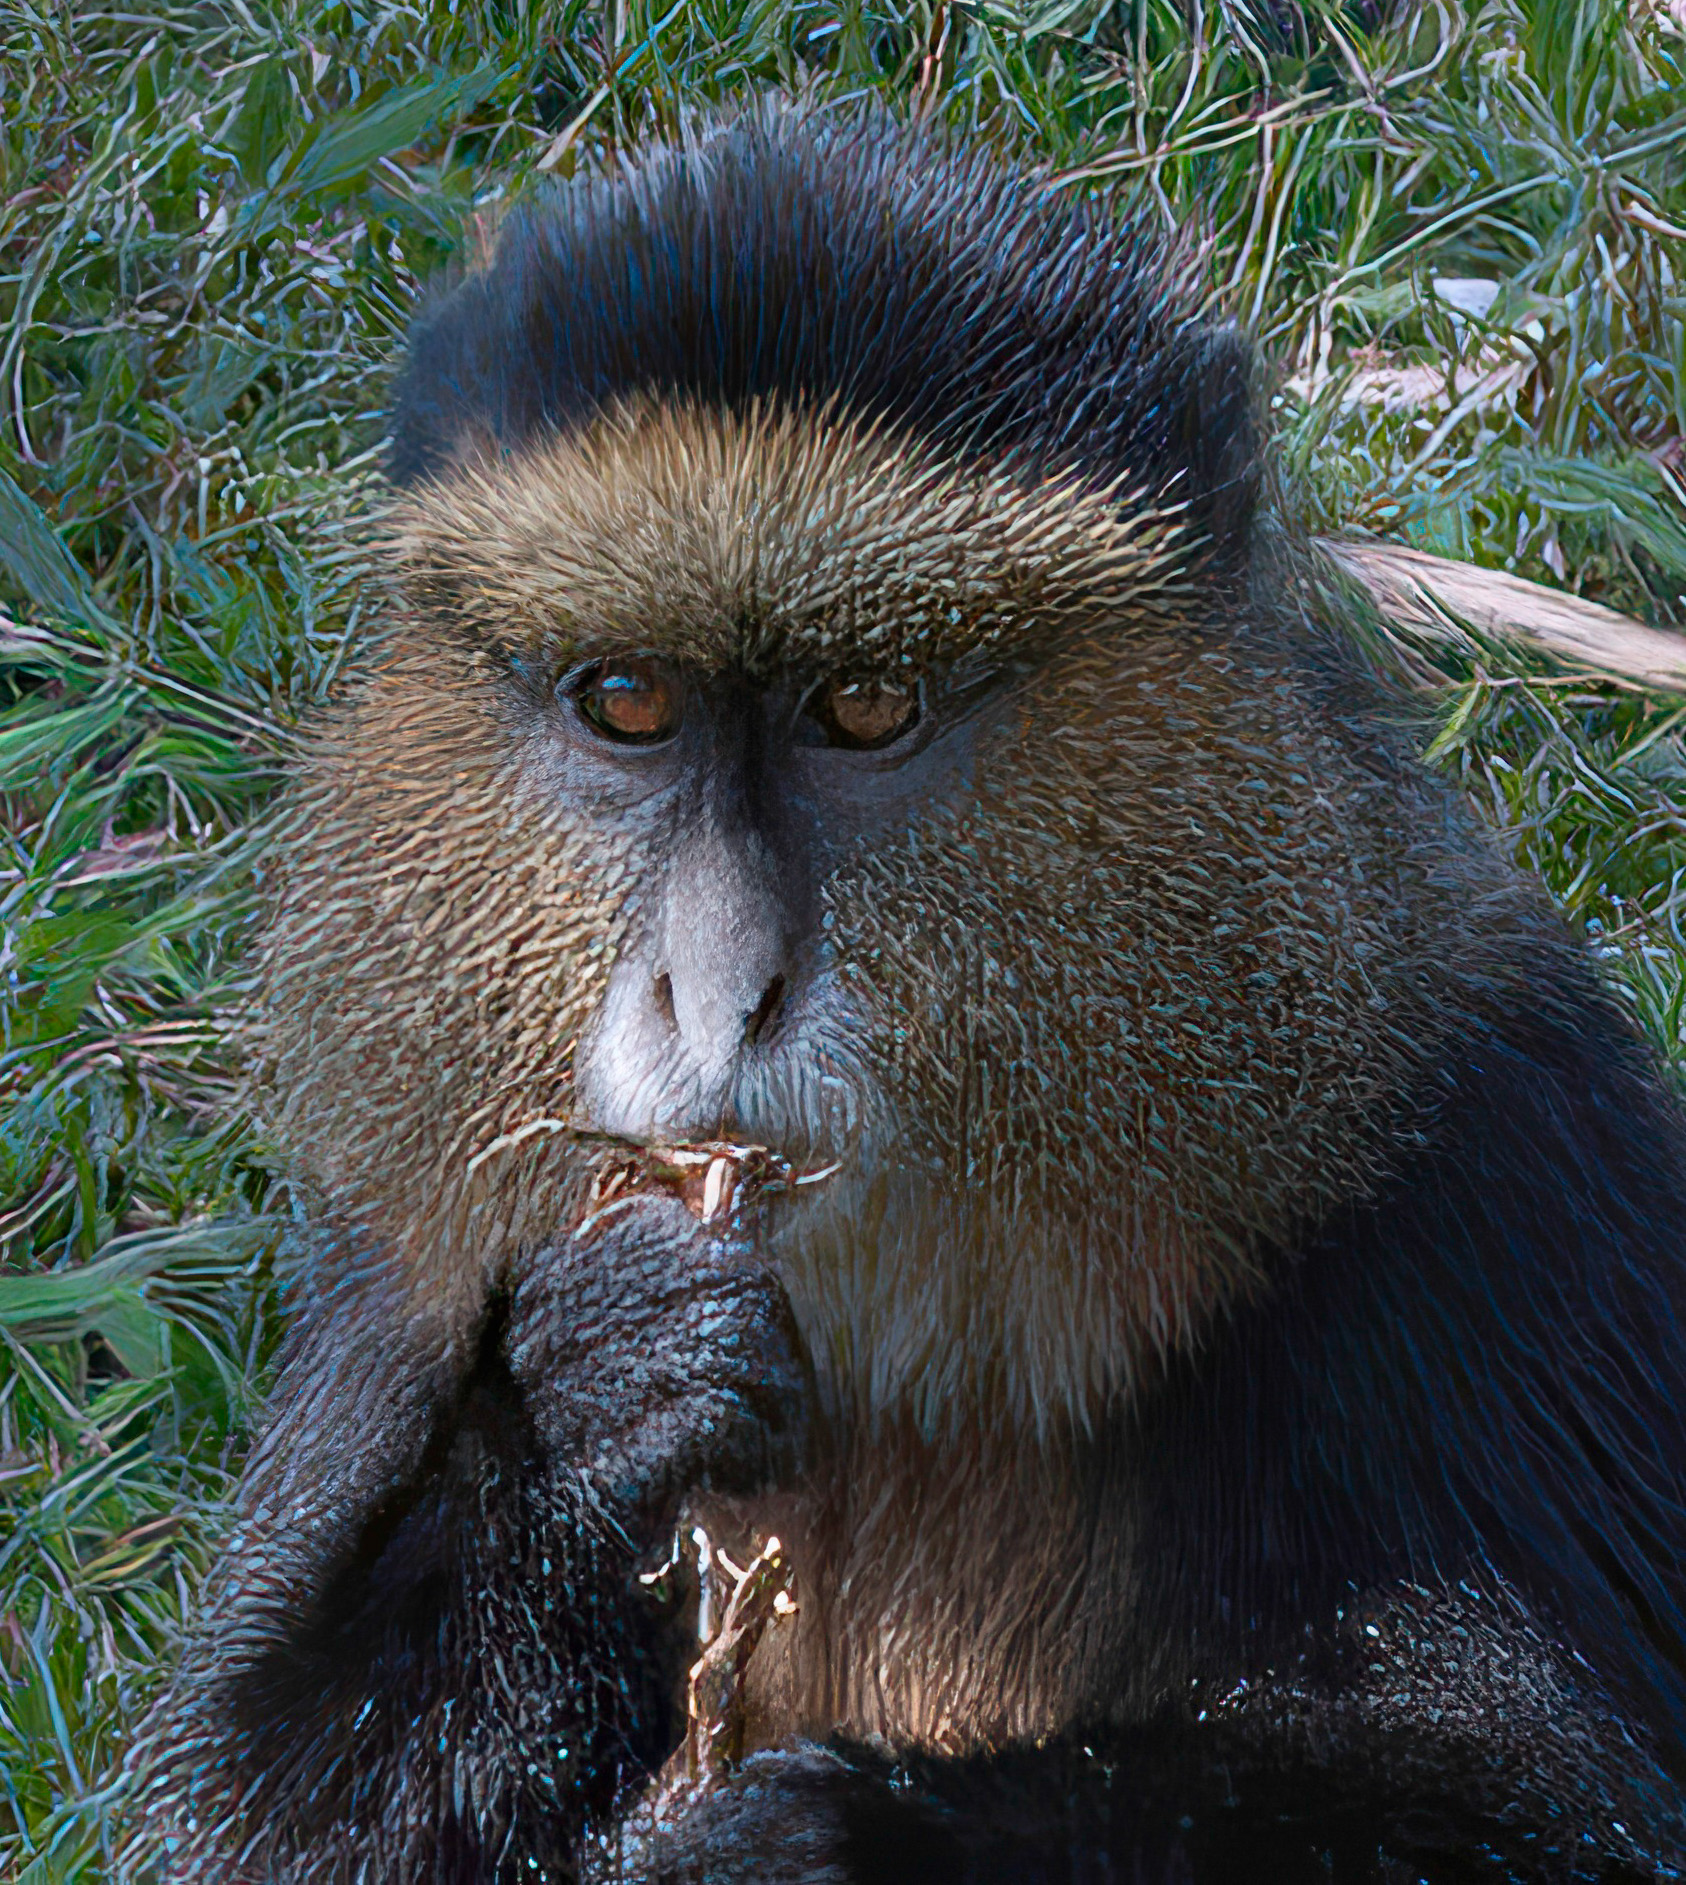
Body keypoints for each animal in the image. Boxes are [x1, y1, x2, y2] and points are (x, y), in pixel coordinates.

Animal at [128, 100, 1686, 1882]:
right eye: (626, 701)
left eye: (865, 707)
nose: (715, 989)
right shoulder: (404, 1250)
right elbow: (250, 1808)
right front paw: (597, 1396)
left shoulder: (1501, 1144)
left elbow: (1545, 1794)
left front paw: (810, 1836)